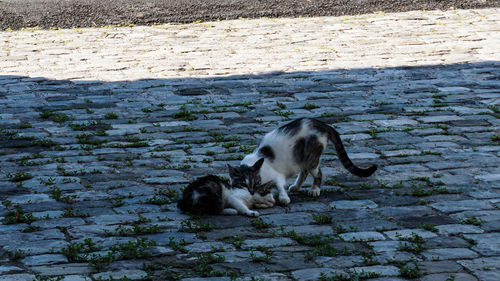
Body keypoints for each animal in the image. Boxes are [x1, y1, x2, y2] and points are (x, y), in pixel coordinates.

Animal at [240, 117, 376, 205]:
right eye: (244, 185)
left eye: (254, 181)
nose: (251, 192)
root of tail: (324, 125)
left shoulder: (276, 175)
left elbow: (280, 185)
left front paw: (284, 198)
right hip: (301, 159)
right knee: (304, 172)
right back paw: (296, 186)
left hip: (312, 158)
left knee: (318, 173)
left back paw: (315, 190)